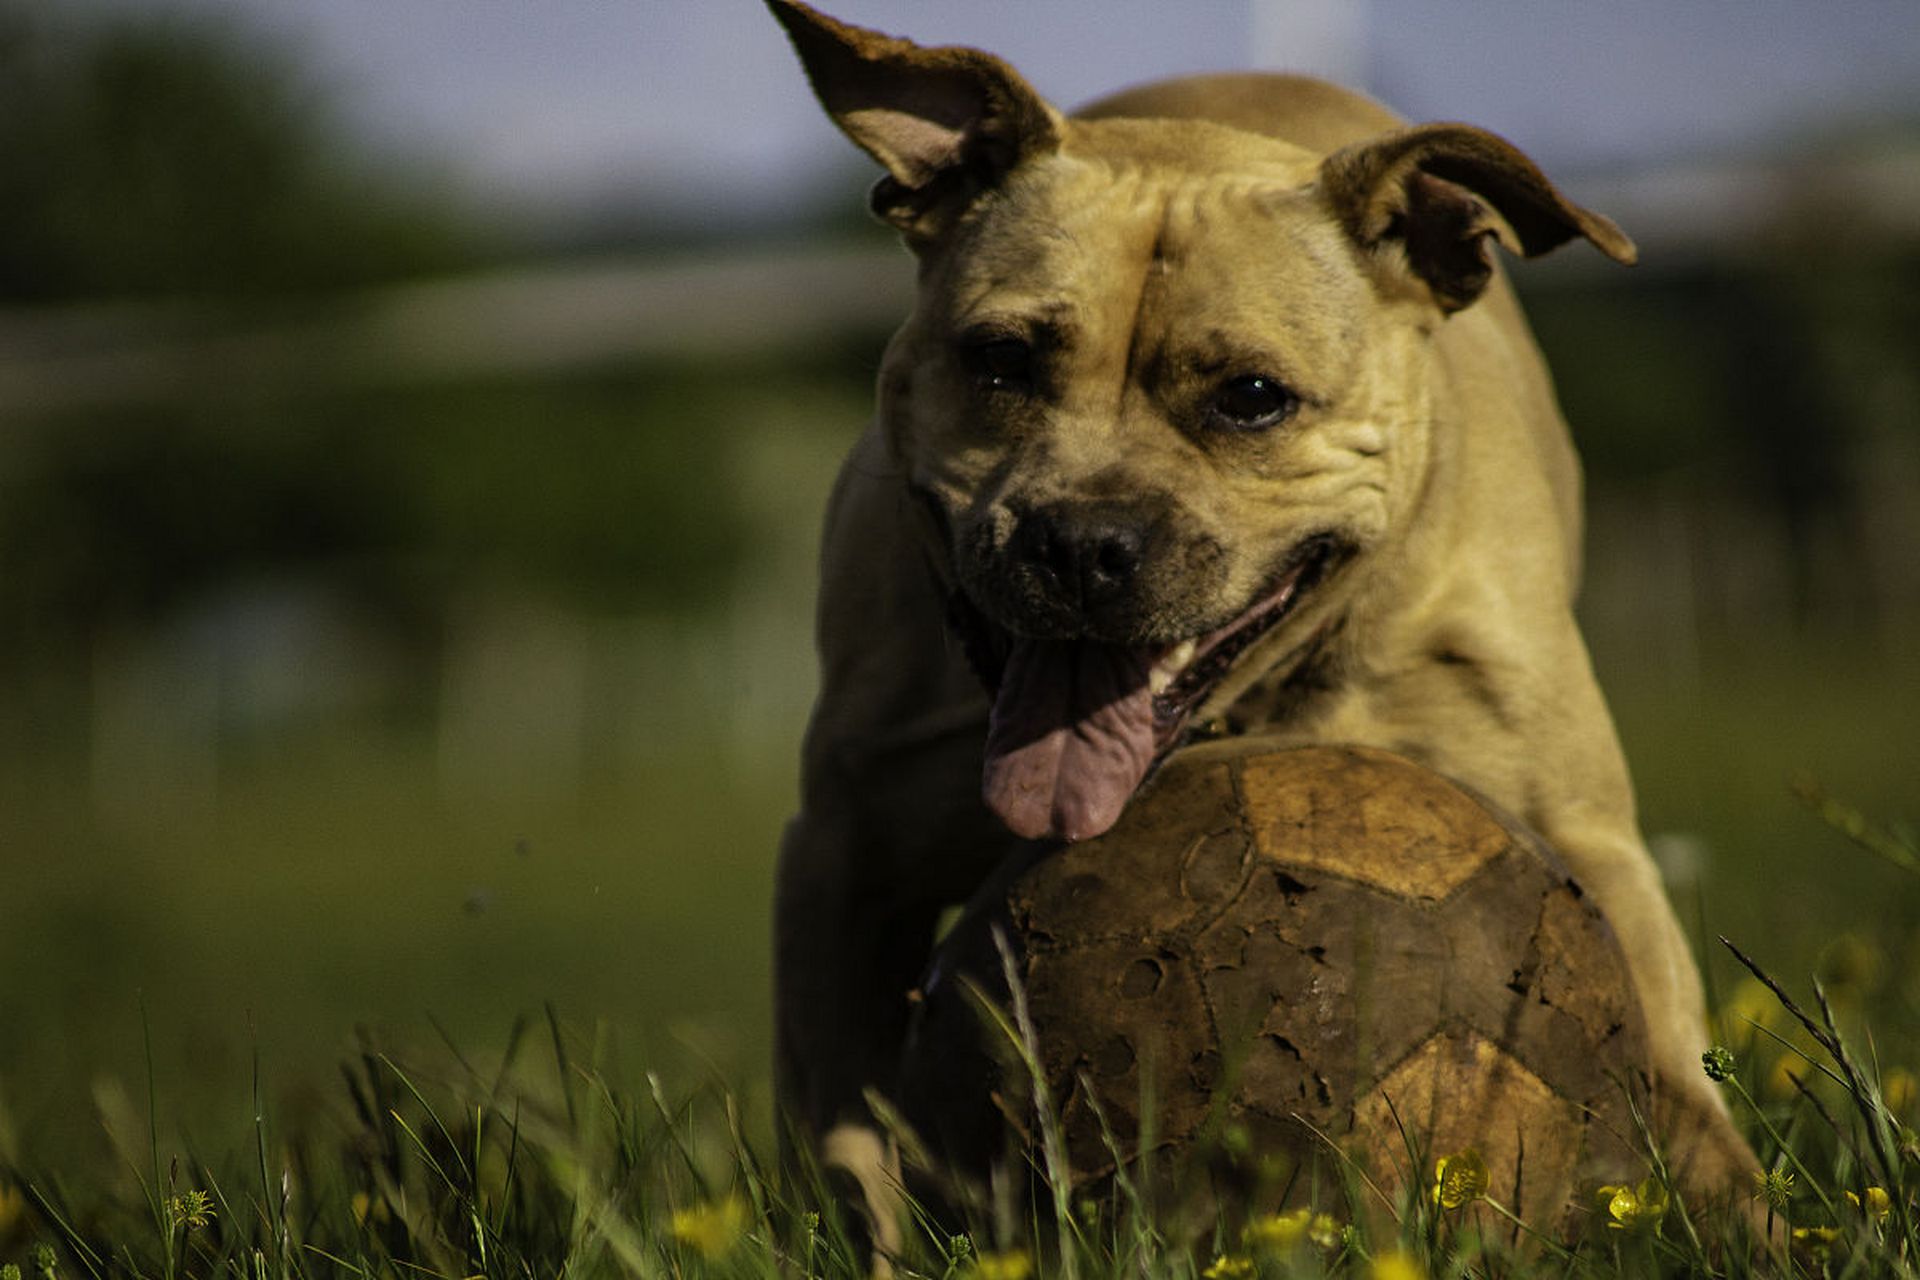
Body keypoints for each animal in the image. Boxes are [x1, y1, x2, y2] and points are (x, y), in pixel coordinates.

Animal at [768, 0, 1758, 1243]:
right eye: (998, 360)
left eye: (1251, 398)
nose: (1081, 541)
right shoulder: (847, 847)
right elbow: (844, 1126)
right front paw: (875, 1230)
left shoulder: (1581, 834)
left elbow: (1665, 1045)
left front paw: (1743, 1209)